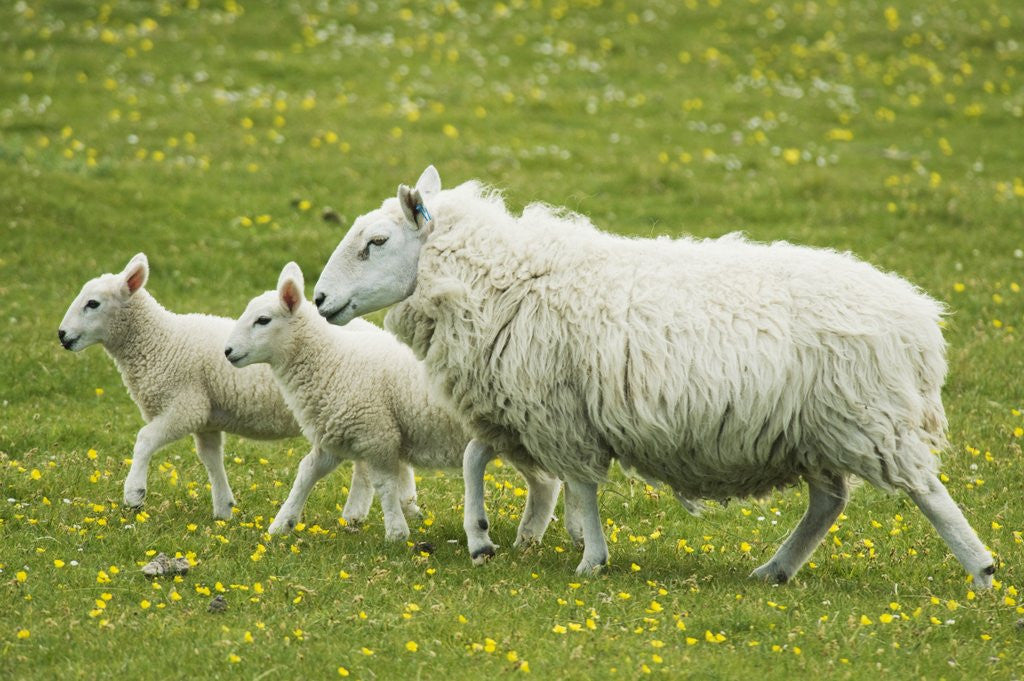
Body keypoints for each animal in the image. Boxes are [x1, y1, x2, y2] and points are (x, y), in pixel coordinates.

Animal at [57, 253, 303, 519]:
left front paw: (134, 494)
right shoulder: (206, 418)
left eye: (92, 304)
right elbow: (211, 459)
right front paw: (223, 511)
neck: (161, 341)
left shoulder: (186, 407)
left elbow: (145, 439)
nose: (62, 335)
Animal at [224, 261, 566, 546]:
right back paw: (527, 540)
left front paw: (396, 533)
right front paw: (282, 523)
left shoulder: (376, 433)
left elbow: (385, 484)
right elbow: (307, 471)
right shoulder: (337, 433)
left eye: (263, 320)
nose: (227, 351)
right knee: (545, 484)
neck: (331, 360)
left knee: (547, 481)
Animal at [312, 165, 995, 587]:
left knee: (926, 492)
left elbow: (581, 487)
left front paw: (590, 558)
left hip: (869, 418)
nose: (318, 300)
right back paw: (775, 570)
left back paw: (982, 570)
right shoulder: (520, 408)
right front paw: (483, 537)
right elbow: (477, 457)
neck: (502, 279)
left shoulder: (560, 413)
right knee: (828, 502)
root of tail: (918, 320)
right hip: (817, 430)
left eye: (376, 241)